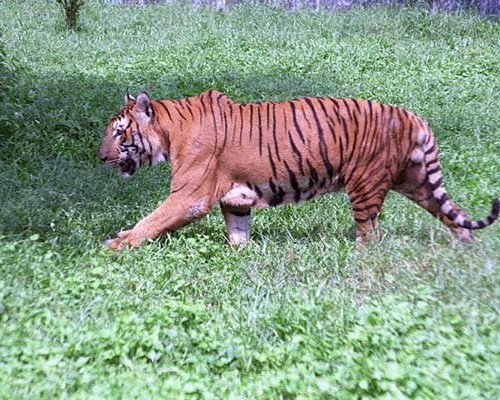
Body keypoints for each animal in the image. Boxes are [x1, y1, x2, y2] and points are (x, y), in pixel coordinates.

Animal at [96, 89, 496, 248]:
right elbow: (237, 232)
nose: (100, 157)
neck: (169, 131)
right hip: (415, 181)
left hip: (366, 186)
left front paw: (118, 244)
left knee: (371, 235)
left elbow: (150, 221)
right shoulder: (235, 199)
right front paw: (239, 255)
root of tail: (413, 117)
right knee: (453, 211)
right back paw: (467, 249)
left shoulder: (189, 196)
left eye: (119, 132)